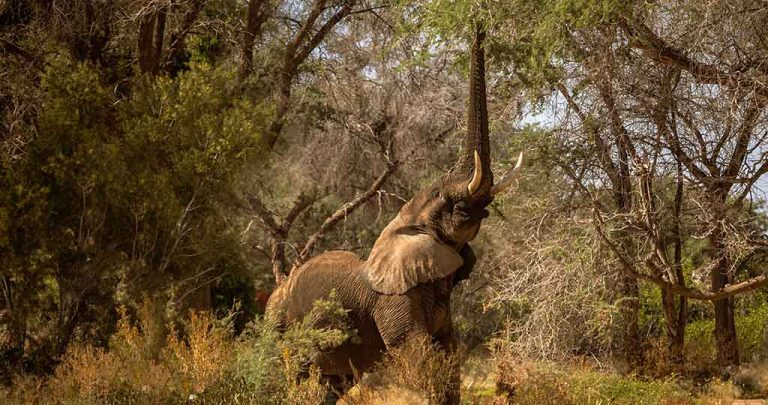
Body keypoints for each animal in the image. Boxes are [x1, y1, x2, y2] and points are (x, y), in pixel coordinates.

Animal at [265, 26, 522, 404]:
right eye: (455, 207)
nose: (479, 24)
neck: (406, 224)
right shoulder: (393, 300)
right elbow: (417, 352)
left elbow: (448, 353)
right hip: (278, 321)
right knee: (287, 375)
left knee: (333, 384)